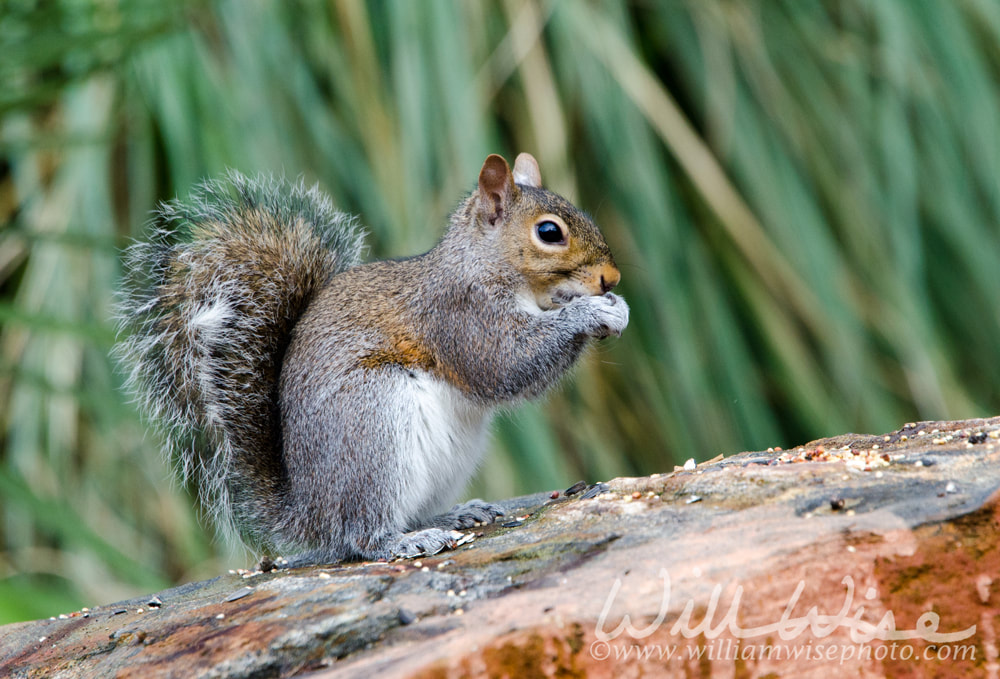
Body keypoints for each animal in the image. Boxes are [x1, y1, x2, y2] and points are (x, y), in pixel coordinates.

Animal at [117, 153, 628, 564]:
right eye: (549, 232)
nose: (612, 278)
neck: (483, 265)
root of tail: (309, 513)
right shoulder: (461, 317)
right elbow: (506, 365)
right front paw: (590, 312)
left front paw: (614, 307)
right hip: (371, 426)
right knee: (359, 534)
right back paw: (400, 541)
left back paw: (456, 514)